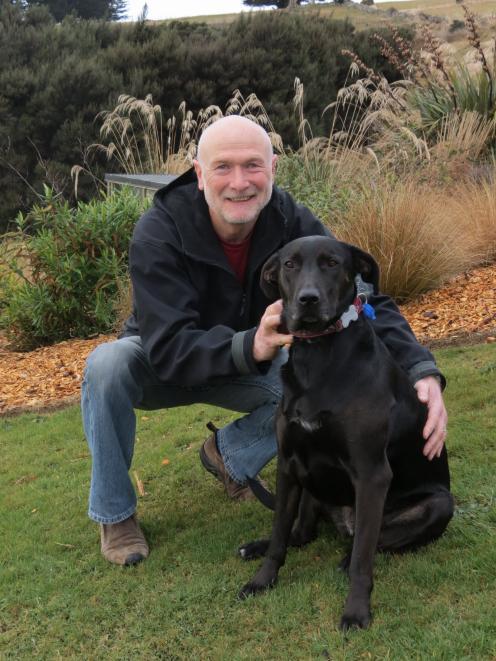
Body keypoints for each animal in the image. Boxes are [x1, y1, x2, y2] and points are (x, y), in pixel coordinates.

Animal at [240, 235, 454, 628]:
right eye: (289, 264)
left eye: (332, 263)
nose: (307, 300)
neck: (318, 354)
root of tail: (344, 523)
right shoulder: (289, 466)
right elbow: (279, 537)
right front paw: (262, 580)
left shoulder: (371, 474)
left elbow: (362, 561)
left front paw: (356, 610)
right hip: (310, 486)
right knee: (300, 534)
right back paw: (256, 546)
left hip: (436, 504)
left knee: (369, 543)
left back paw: (345, 556)